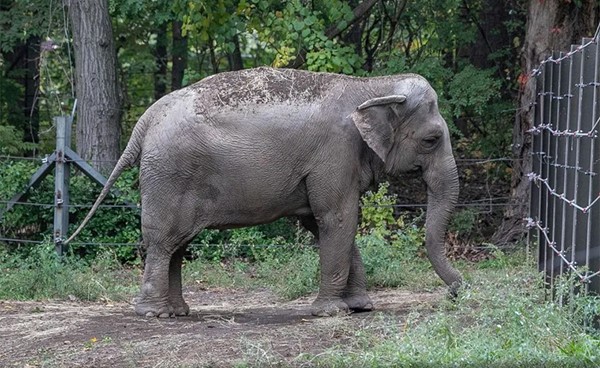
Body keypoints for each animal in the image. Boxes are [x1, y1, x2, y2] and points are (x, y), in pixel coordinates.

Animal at [68, 67, 464, 318]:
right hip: (169, 175)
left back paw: (177, 312)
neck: (372, 86)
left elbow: (327, 223)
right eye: (431, 140)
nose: (457, 292)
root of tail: (146, 120)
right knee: (163, 241)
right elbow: (337, 218)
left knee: (177, 245)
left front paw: (360, 307)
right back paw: (154, 315)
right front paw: (332, 313)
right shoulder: (334, 154)